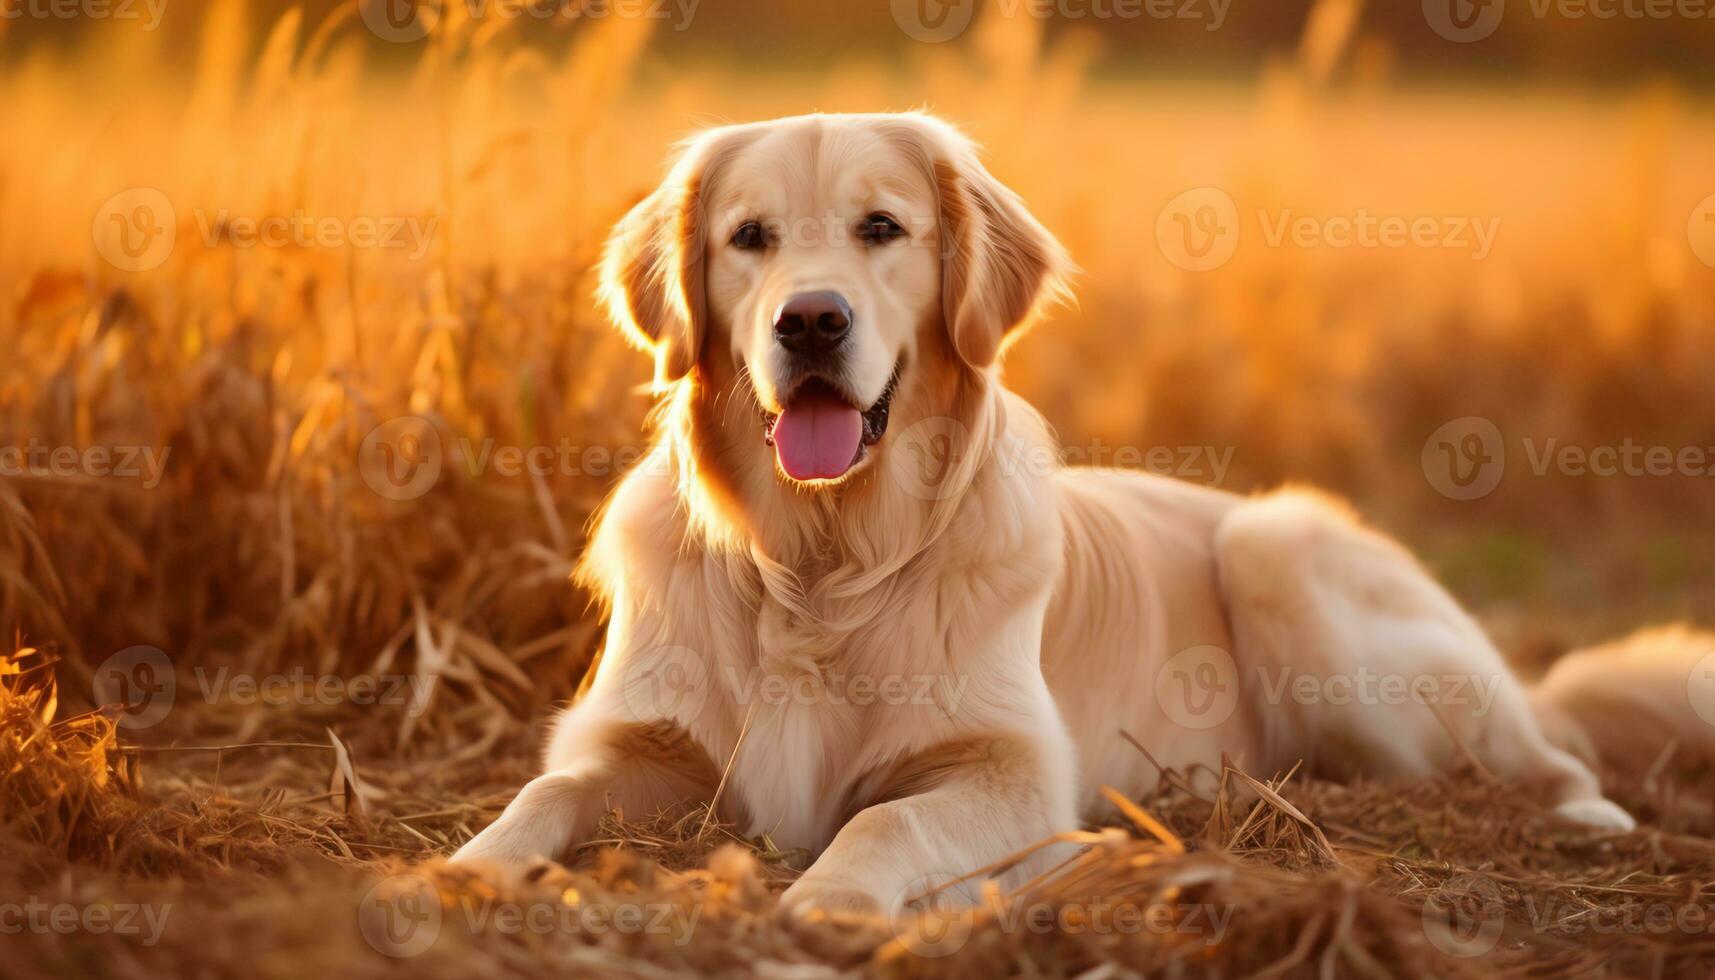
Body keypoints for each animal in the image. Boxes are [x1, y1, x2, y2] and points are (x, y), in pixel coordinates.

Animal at [456, 114, 1715, 919]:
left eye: (880, 228)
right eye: (748, 237)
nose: (809, 321)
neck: (817, 562)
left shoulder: (1015, 771)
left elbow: (883, 822)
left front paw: (832, 896)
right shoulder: (632, 738)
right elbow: (545, 787)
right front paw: (462, 867)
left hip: (1285, 557)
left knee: (1540, 747)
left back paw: (1581, 810)